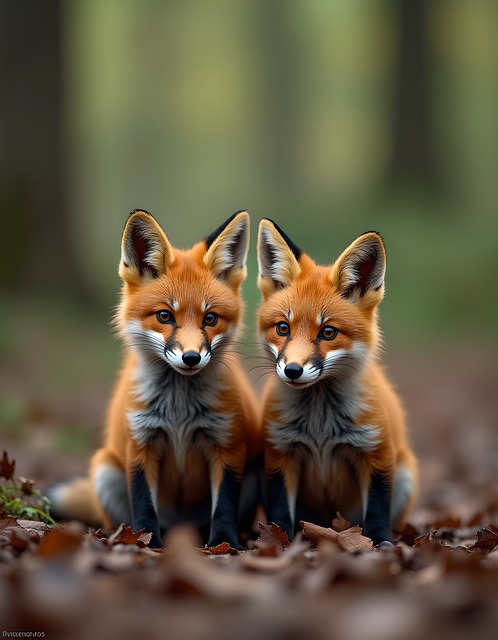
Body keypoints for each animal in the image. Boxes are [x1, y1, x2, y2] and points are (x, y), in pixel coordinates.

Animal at [48, 209, 261, 549]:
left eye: (210, 318)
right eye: (165, 316)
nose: (191, 358)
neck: (179, 413)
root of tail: (181, 525)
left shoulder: (227, 445)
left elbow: (224, 506)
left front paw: (223, 542)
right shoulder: (140, 444)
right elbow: (143, 503)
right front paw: (146, 542)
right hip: (105, 470)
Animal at [256, 219, 418, 546]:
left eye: (328, 332)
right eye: (283, 328)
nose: (292, 370)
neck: (320, 426)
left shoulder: (376, 453)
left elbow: (377, 509)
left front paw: (379, 543)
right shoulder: (280, 453)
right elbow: (280, 511)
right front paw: (281, 541)